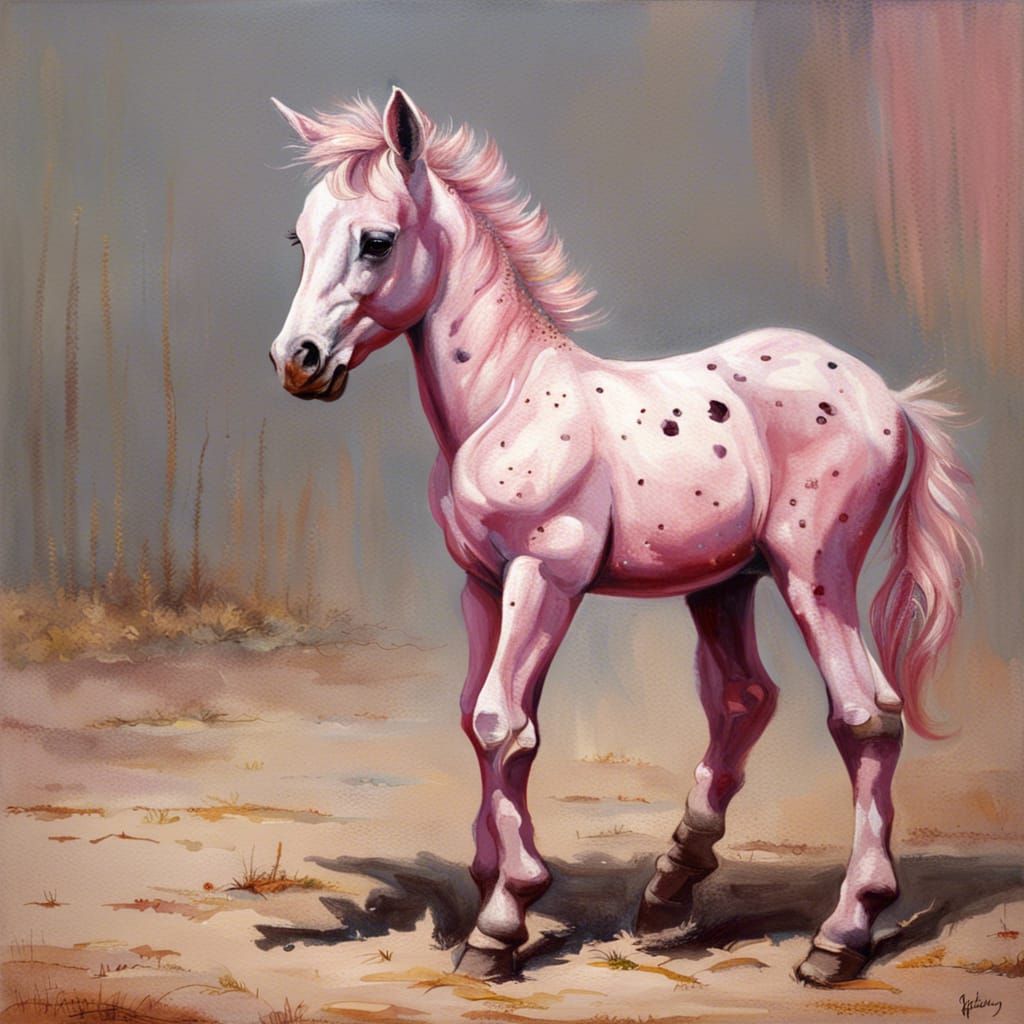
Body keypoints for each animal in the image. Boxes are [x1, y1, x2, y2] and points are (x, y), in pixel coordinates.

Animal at [268, 87, 979, 986]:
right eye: (300, 236)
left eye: (376, 240)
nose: (298, 361)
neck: (507, 401)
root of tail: (892, 398)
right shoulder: (481, 584)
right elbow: (480, 719)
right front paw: (493, 880)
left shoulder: (546, 576)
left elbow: (503, 723)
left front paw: (501, 922)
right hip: (727, 584)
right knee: (746, 698)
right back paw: (670, 889)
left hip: (815, 572)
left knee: (867, 716)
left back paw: (842, 934)